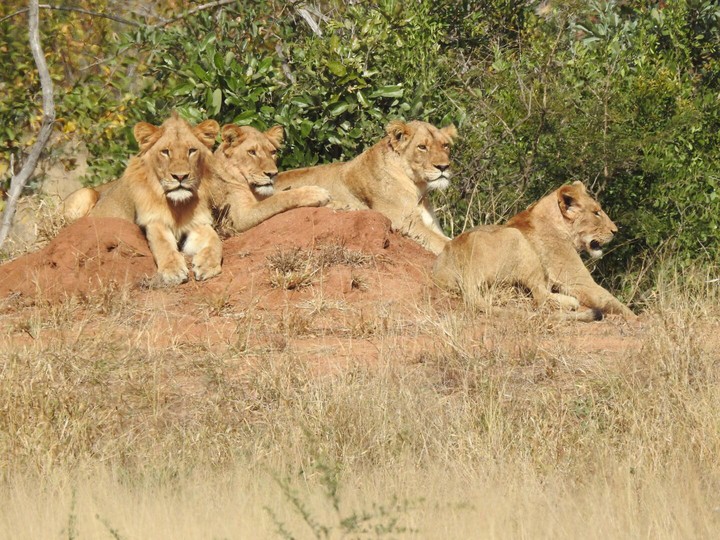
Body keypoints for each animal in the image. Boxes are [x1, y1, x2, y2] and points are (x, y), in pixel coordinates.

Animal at [62, 112, 222, 286]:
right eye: (165, 152)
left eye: (192, 150)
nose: (180, 177)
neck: (178, 206)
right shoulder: (154, 222)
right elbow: (163, 245)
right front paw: (173, 271)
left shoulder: (199, 223)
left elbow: (216, 241)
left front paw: (208, 266)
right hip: (85, 193)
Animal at [273, 120, 458, 254]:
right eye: (422, 147)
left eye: (445, 146)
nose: (444, 167)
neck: (418, 187)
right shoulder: (403, 222)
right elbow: (443, 243)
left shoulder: (431, 224)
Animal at [433, 181, 635, 320]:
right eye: (596, 213)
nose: (615, 231)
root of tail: (465, 271)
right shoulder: (579, 282)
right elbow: (613, 302)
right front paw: (636, 318)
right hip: (518, 240)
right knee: (539, 296)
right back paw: (571, 303)